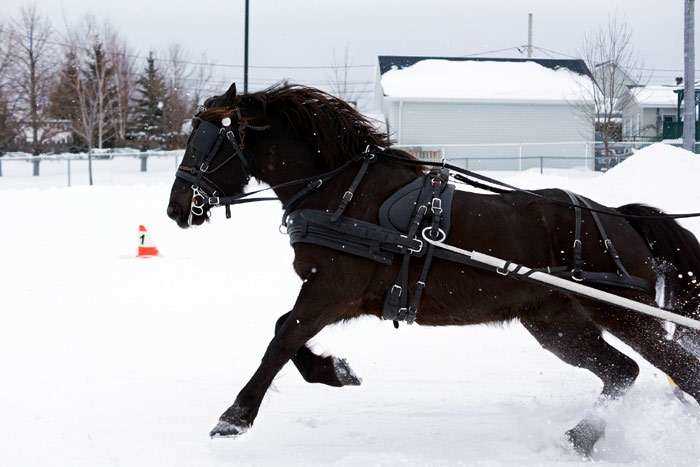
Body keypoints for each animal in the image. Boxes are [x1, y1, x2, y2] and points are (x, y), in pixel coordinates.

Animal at [168, 83, 700, 458]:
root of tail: (620, 218)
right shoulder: (336, 295)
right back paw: (580, 440)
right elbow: (287, 331)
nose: (177, 207)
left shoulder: (333, 290)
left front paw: (234, 417)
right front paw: (335, 370)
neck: (344, 191)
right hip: (557, 325)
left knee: (677, 371)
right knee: (623, 372)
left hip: (622, 313)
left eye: (207, 142)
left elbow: (282, 338)